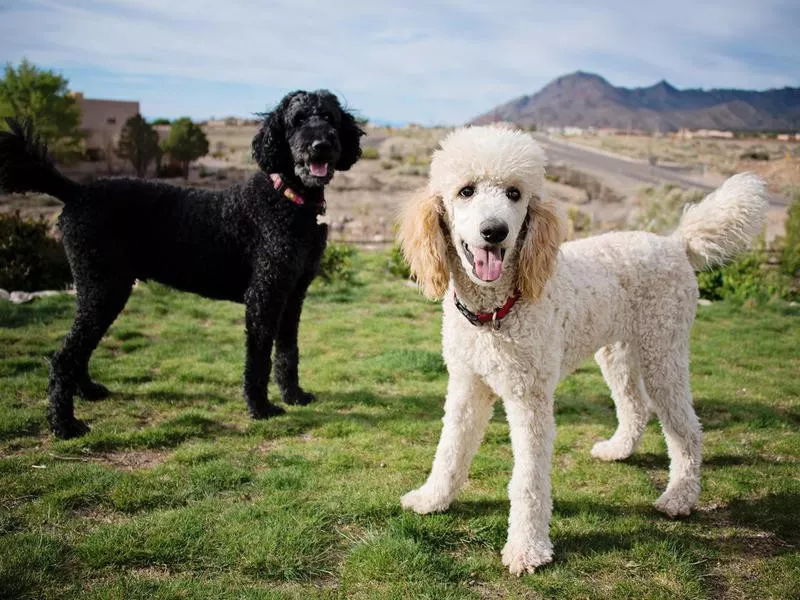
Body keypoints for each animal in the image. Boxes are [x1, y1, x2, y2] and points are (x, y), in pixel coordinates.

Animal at [0, 89, 362, 438]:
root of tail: (75, 192)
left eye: (329, 118)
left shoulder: (292, 296)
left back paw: (87, 392)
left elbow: (288, 352)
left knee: (80, 348)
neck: (287, 199)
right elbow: (258, 357)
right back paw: (64, 425)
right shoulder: (264, 295)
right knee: (65, 355)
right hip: (103, 288)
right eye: (297, 120)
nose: (321, 146)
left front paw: (294, 396)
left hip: (102, 290)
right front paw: (261, 408)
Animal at [396, 126, 764, 576]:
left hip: (664, 351)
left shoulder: (530, 398)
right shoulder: (467, 386)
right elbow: (449, 450)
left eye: (515, 194)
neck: (495, 311)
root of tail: (676, 243)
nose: (495, 231)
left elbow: (528, 481)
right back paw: (619, 450)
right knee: (635, 406)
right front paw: (432, 499)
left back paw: (679, 497)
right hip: (619, 353)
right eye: (466, 191)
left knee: (686, 430)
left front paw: (527, 549)